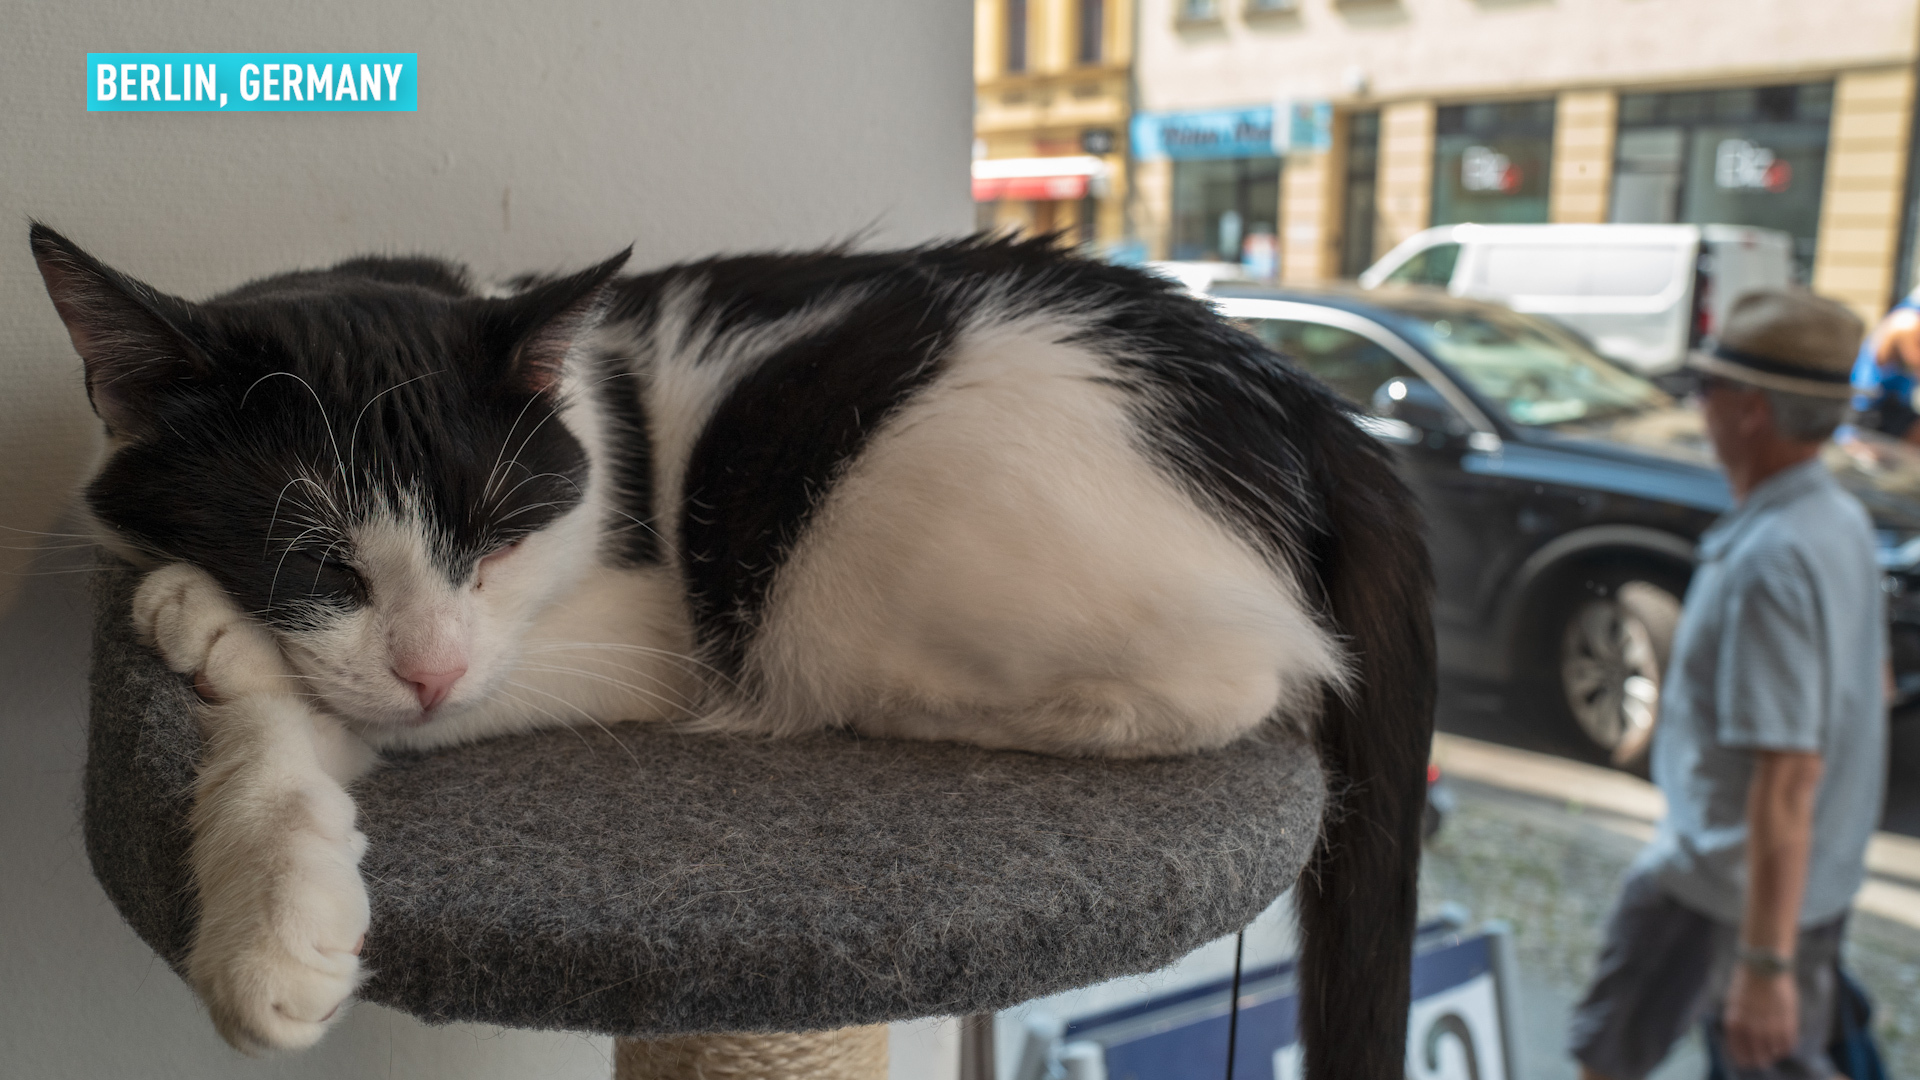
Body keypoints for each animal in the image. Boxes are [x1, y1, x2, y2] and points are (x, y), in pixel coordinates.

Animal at [30, 222, 1436, 1068]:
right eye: (315, 556)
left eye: (495, 537)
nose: (427, 664)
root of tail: (1301, 401)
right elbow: (292, 739)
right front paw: (273, 926)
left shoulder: (645, 630)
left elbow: (435, 683)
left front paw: (209, 620)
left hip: (882, 549)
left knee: (1233, 680)